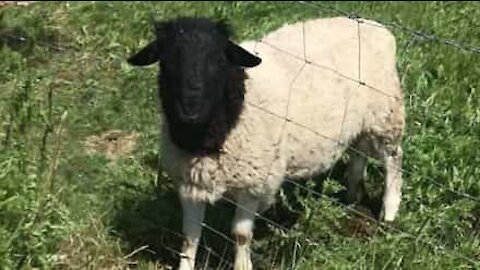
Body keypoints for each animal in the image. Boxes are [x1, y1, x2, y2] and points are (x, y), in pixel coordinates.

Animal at [126, 16, 404, 270]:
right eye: (166, 61)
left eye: (219, 60)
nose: (190, 109)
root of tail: (375, 27)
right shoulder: (191, 182)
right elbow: (189, 237)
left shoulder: (254, 183)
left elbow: (240, 235)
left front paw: (242, 266)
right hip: (363, 121)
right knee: (359, 153)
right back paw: (353, 196)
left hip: (386, 116)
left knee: (394, 160)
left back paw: (388, 213)